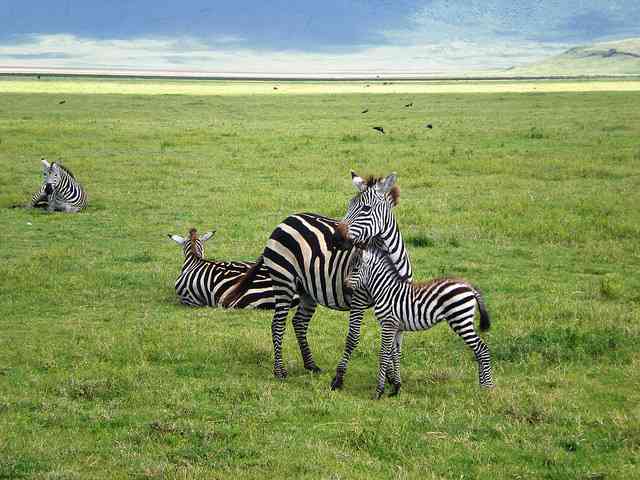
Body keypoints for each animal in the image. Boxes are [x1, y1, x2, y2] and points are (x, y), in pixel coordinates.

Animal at [222, 171, 412, 385]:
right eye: (348, 205)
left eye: (366, 208)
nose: (335, 239)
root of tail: (286, 220)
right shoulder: (358, 298)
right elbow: (353, 336)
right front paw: (339, 377)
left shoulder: (397, 302)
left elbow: (394, 342)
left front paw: (391, 378)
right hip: (283, 280)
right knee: (278, 324)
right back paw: (280, 372)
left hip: (307, 288)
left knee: (299, 322)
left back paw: (310, 365)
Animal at [347, 245, 494, 398]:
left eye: (355, 269)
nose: (345, 287)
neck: (386, 290)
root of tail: (469, 286)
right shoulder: (397, 328)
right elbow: (395, 354)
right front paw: (396, 388)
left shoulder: (388, 324)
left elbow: (384, 355)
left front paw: (378, 392)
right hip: (463, 320)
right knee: (478, 350)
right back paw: (482, 386)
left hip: (460, 319)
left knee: (481, 348)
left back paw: (488, 387)